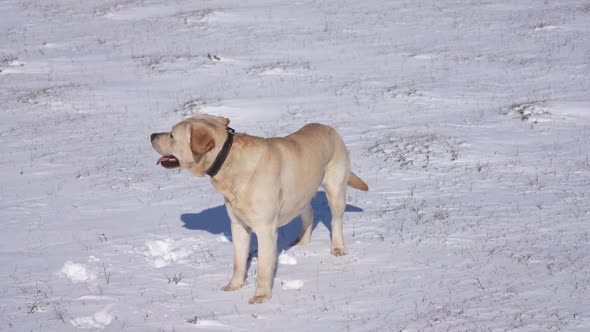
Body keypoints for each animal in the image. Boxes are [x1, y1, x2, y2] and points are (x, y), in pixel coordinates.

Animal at [150, 114, 368, 304]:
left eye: (172, 135)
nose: (151, 135)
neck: (228, 161)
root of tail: (329, 128)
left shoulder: (265, 229)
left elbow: (263, 266)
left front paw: (262, 296)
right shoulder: (238, 225)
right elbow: (238, 261)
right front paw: (234, 285)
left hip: (335, 189)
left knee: (336, 220)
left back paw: (338, 248)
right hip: (301, 193)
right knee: (309, 212)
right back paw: (302, 242)